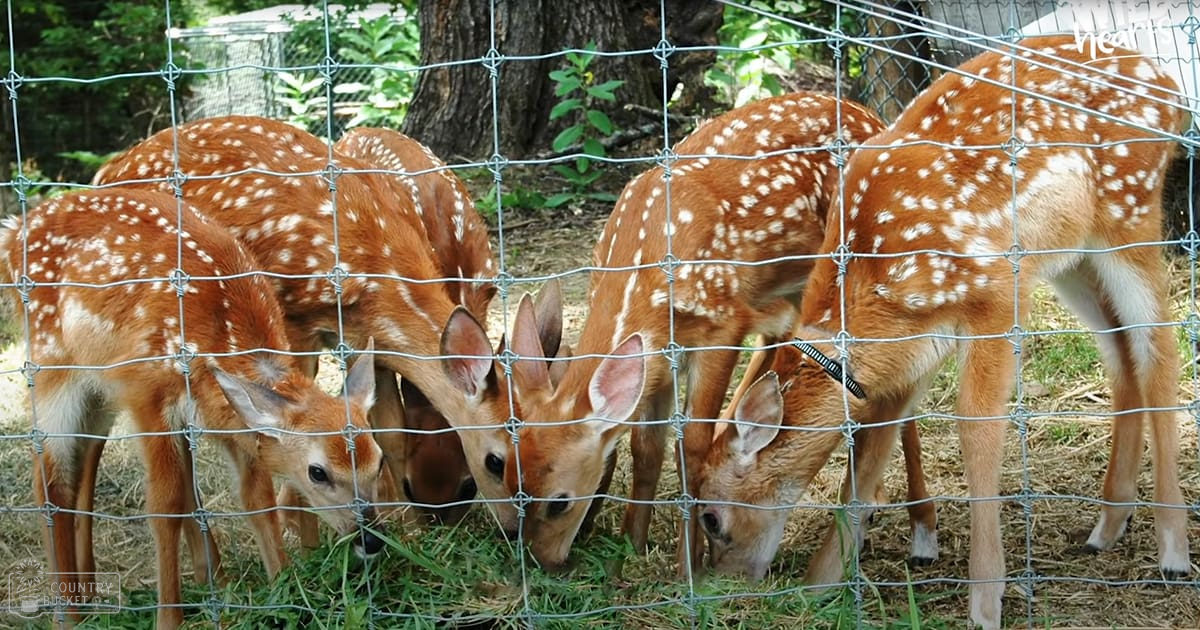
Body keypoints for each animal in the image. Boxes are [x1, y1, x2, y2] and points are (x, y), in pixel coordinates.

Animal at [0, 189, 382, 629]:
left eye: (380, 463)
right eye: (317, 472)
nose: (371, 539)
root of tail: (14, 231)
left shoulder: (221, 411)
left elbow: (256, 496)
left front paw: (283, 588)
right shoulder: (148, 391)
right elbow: (165, 503)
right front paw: (169, 617)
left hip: (98, 388)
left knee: (83, 466)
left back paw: (93, 594)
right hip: (52, 366)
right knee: (50, 479)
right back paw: (70, 615)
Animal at [91, 116, 537, 542]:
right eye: (495, 462)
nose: (514, 530)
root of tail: (106, 170)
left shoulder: (365, 339)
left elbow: (389, 430)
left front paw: (407, 534)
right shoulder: (294, 324)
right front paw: (309, 536)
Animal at [500, 92, 903, 571]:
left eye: (559, 502)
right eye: (507, 479)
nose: (542, 561)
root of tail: (868, 112)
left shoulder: (720, 324)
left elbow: (690, 444)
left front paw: (684, 564)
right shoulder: (657, 353)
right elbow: (646, 446)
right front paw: (632, 546)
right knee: (788, 338)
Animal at [696, 36, 1191, 630]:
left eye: (711, 519)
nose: (725, 587)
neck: (872, 279)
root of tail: (1171, 86)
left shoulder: (993, 298)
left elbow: (976, 430)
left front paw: (985, 601)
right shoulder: (910, 347)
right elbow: (872, 448)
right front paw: (821, 585)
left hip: (1131, 215)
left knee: (1159, 346)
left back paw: (1173, 552)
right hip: (1072, 256)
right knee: (1120, 349)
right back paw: (1106, 527)